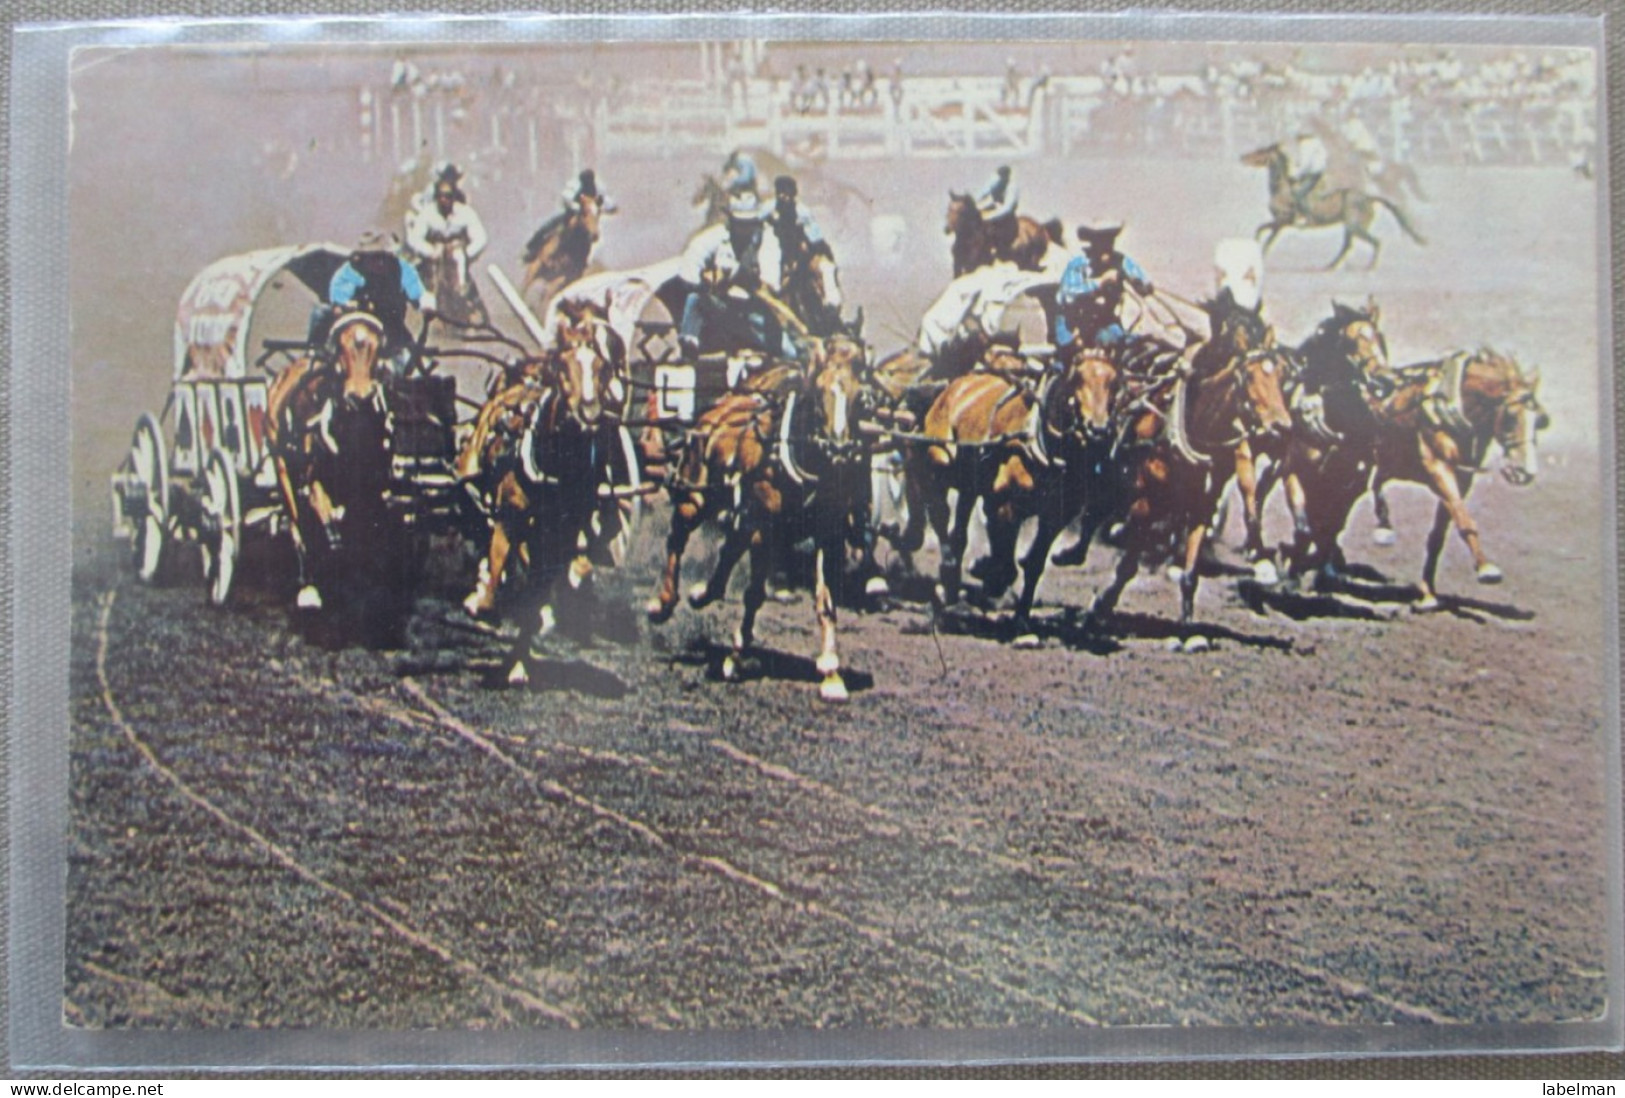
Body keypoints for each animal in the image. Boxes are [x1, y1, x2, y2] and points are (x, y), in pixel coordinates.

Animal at [264, 313, 398, 613]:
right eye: (341, 348)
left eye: (376, 347)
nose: (359, 397)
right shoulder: (314, 483)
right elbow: (330, 533)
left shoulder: (372, 488)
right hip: (283, 470)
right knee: (297, 523)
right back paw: (308, 584)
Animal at [458, 295, 640, 682]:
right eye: (563, 364)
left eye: (608, 362)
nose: (590, 412)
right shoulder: (510, 516)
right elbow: (498, 558)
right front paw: (484, 601)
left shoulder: (565, 534)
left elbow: (543, 589)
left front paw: (520, 659)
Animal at [646, 329, 877, 704]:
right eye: (818, 395)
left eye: (860, 397)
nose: (839, 449)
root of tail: (720, 408)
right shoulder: (763, 528)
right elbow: (754, 593)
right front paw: (735, 657)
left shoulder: (827, 534)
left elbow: (825, 601)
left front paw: (830, 671)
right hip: (695, 497)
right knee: (677, 539)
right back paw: (662, 603)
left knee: (727, 549)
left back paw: (703, 593)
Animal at [910, 345, 1124, 643]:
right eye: (1077, 379)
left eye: (1115, 383)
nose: (1099, 429)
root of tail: (954, 387)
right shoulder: (1005, 505)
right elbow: (1006, 566)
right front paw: (987, 574)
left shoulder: (1054, 518)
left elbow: (1033, 564)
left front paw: (1021, 618)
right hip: (937, 468)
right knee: (940, 518)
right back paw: (950, 575)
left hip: (969, 487)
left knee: (959, 532)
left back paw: (954, 590)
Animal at [1241, 143, 1423, 269]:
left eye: (1260, 151)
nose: (1243, 156)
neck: (1283, 189)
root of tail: (1368, 198)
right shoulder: (1280, 224)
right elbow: (1264, 235)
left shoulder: (1283, 221)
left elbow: (1264, 234)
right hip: (1350, 227)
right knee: (1347, 246)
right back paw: (1329, 266)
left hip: (1356, 226)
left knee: (1375, 242)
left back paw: (1368, 267)